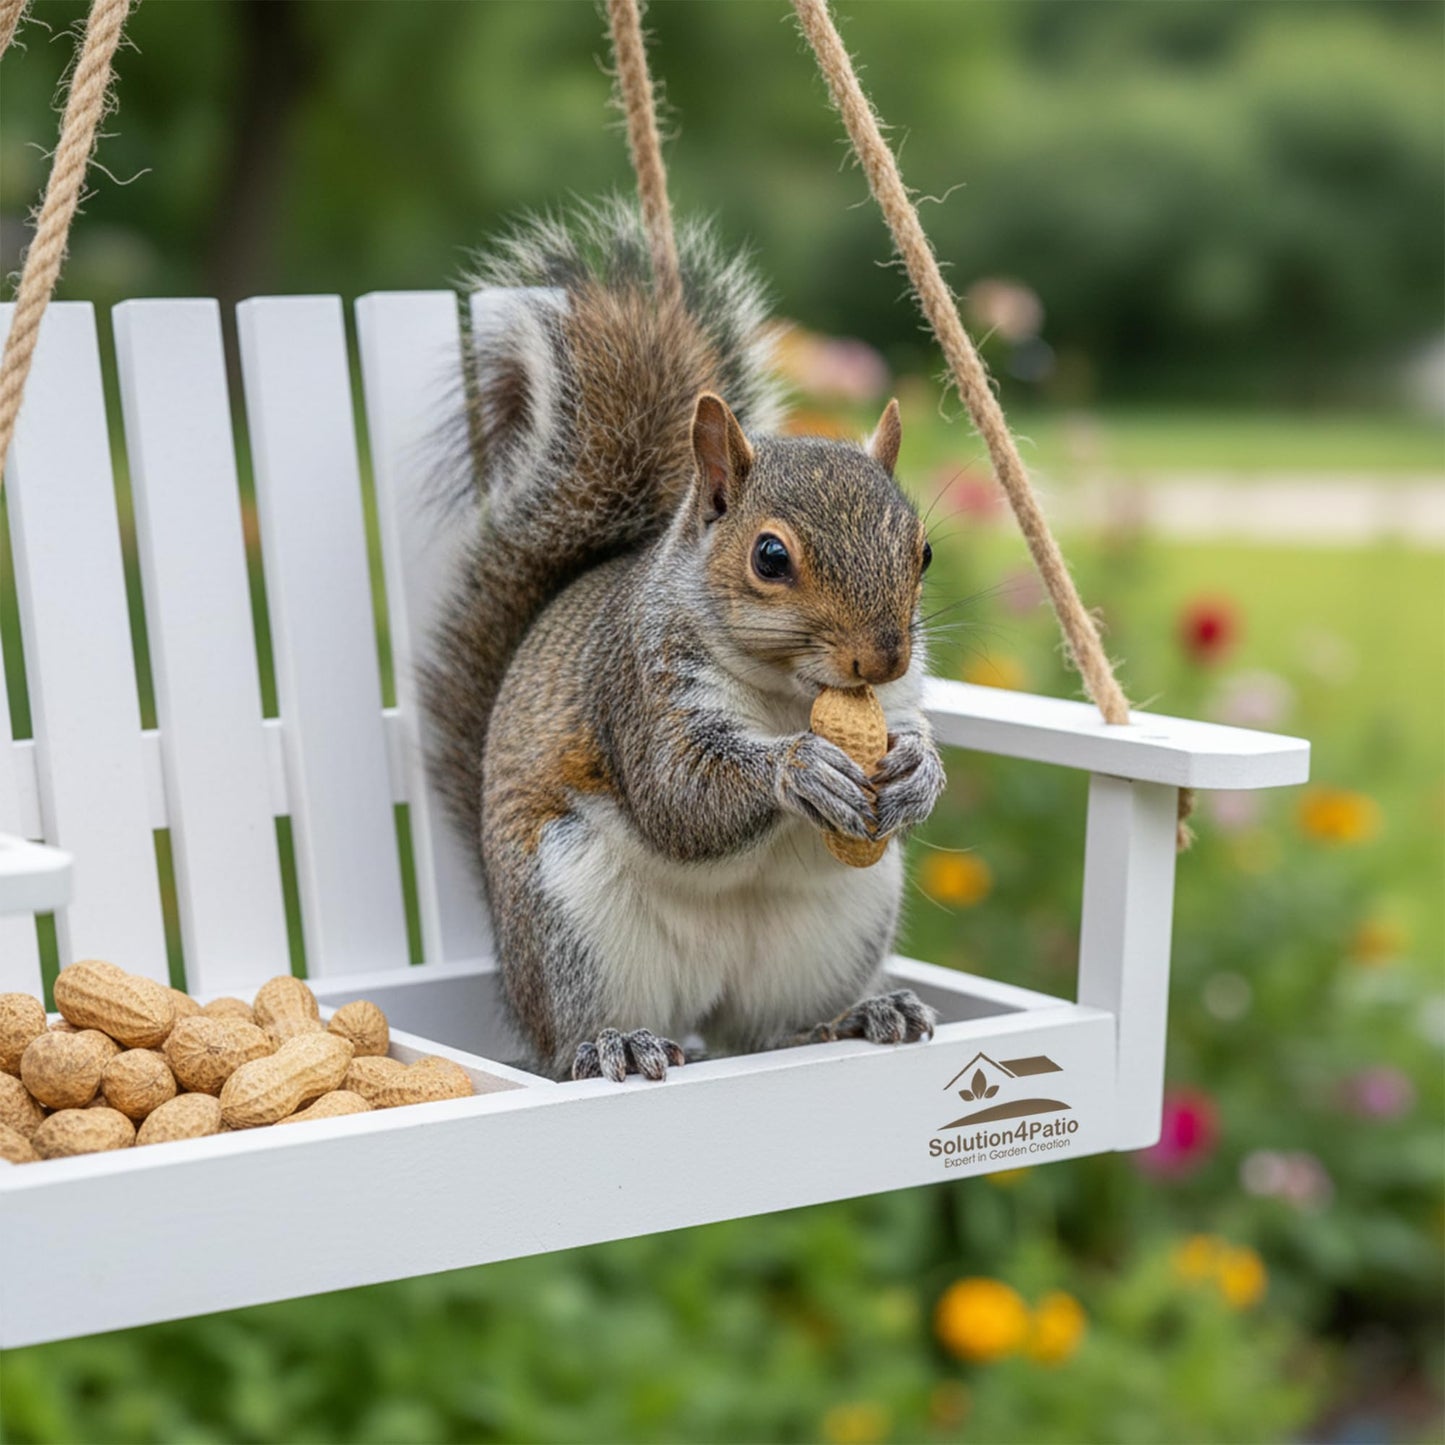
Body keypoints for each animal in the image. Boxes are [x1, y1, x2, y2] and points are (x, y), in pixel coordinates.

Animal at [424, 202, 947, 1082]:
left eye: (924, 552)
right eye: (769, 557)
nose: (883, 657)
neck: (792, 691)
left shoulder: (895, 700)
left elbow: (911, 739)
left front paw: (919, 772)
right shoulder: (641, 684)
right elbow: (678, 795)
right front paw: (798, 767)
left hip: (836, 925)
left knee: (767, 1031)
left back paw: (853, 1014)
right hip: (572, 916)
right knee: (575, 1040)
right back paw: (613, 1042)